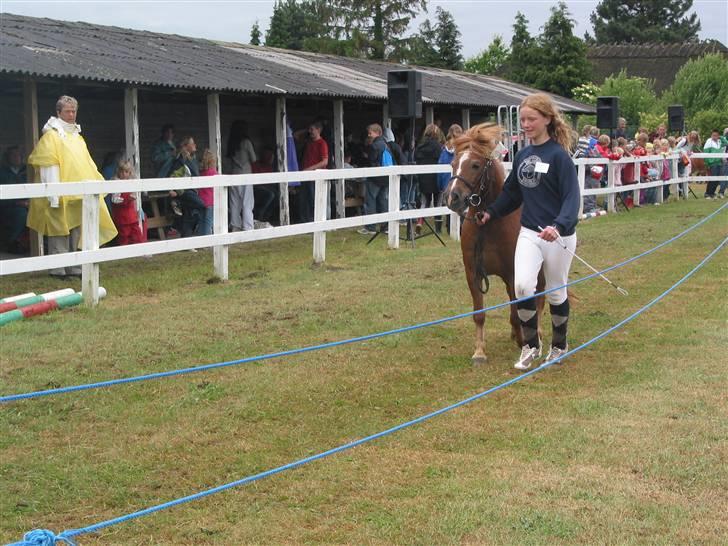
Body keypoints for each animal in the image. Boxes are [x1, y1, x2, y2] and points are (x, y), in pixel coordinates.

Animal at [440, 121, 544, 364]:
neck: (489, 224)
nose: (453, 197)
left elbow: (518, 310)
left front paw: (524, 341)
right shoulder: (473, 274)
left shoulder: (514, 273)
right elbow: (479, 314)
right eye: (453, 164)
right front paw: (479, 351)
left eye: (475, 165)